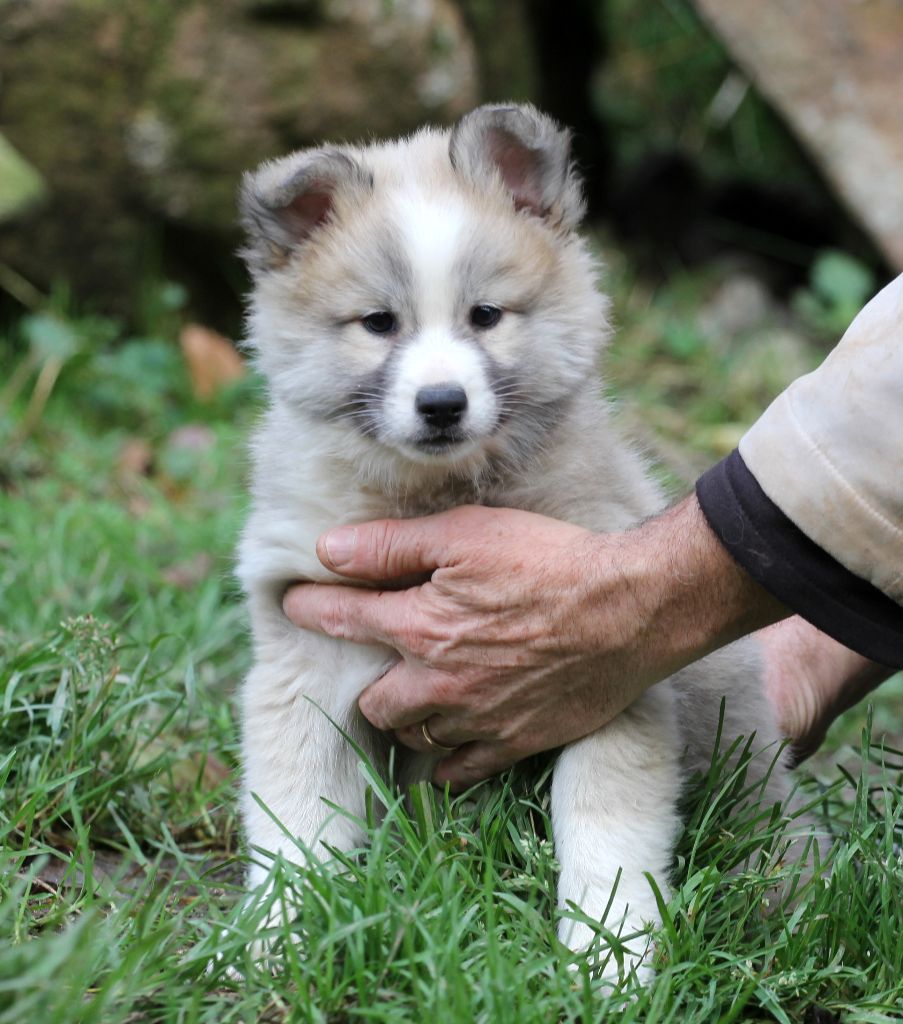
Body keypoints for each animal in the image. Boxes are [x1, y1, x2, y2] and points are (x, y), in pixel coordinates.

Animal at [237, 103, 794, 983]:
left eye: (486, 316)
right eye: (378, 323)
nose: (440, 403)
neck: (435, 498)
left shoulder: (598, 673)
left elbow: (603, 828)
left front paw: (610, 962)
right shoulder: (303, 654)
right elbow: (294, 820)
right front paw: (274, 940)